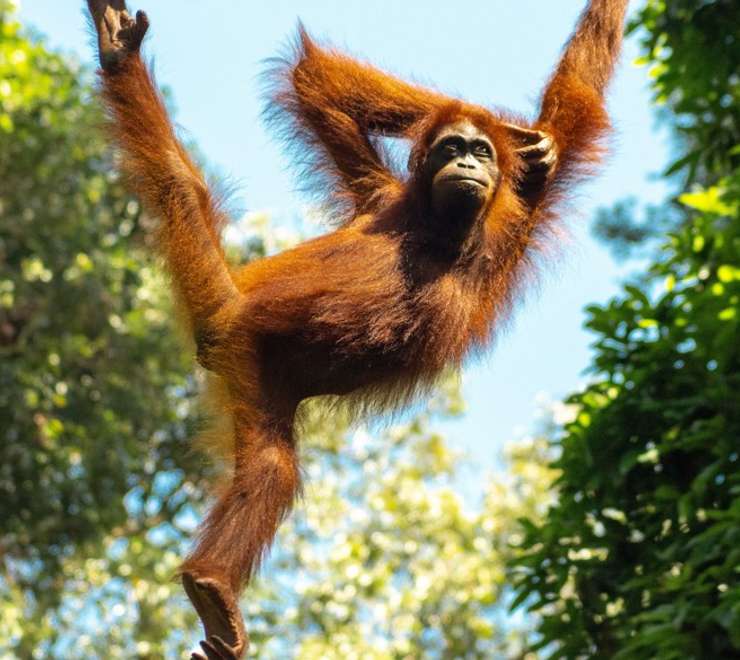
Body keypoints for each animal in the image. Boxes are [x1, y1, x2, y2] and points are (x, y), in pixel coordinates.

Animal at [86, 1, 629, 657]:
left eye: (479, 152)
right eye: (452, 147)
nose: (468, 161)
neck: (439, 233)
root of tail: (224, 315)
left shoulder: (514, 212)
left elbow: (574, 100)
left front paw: (522, 138)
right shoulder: (386, 198)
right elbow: (317, 80)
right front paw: (524, 136)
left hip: (256, 373)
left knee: (270, 464)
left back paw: (211, 587)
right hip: (246, 345)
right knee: (179, 188)